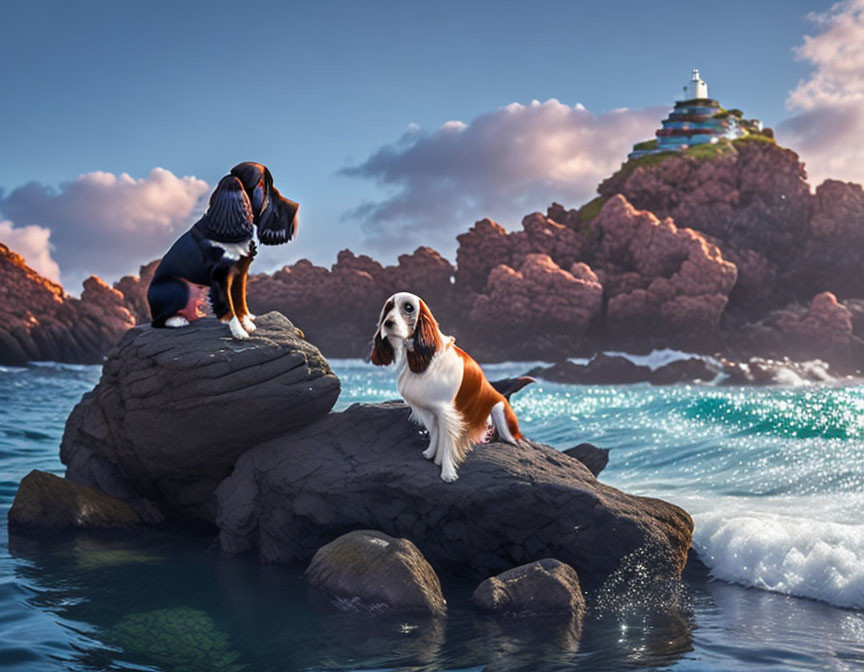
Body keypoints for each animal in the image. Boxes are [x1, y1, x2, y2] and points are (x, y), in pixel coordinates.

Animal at [147, 162, 298, 338]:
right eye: (266, 185)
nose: (296, 207)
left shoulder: (240, 272)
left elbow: (240, 300)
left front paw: (247, 322)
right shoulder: (220, 276)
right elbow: (228, 306)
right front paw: (239, 332)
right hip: (180, 287)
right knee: (157, 321)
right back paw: (178, 321)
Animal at [370, 292, 524, 480]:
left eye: (408, 307)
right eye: (388, 307)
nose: (387, 323)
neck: (426, 357)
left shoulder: (447, 413)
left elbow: (448, 443)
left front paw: (447, 473)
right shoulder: (430, 410)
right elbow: (435, 433)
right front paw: (431, 454)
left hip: (500, 411)